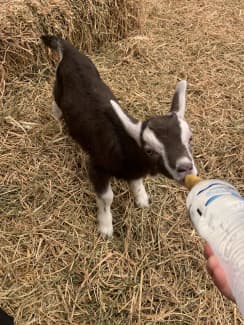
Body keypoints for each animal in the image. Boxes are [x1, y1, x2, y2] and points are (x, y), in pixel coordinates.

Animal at [41, 35, 198, 237]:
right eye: (149, 150)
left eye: (190, 139)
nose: (185, 167)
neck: (123, 146)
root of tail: (69, 51)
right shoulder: (96, 167)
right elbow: (107, 197)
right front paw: (105, 227)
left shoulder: (135, 170)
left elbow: (137, 183)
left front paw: (142, 199)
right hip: (58, 84)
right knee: (55, 99)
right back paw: (56, 116)